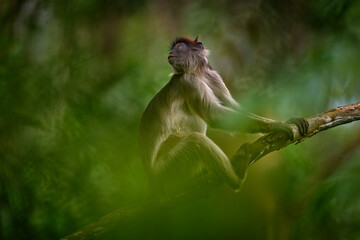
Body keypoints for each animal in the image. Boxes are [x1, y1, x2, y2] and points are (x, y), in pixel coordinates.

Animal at [139, 36, 308, 195]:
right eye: (173, 48)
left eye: (178, 47)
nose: (170, 53)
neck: (197, 73)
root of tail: (151, 180)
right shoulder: (189, 81)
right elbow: (214, 115)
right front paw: (276, 126)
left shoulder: (212, 76)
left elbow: (232, 109)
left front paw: (286, 120)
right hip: (167, 171)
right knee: (197, 141)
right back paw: (237, 179)